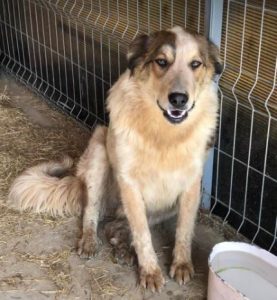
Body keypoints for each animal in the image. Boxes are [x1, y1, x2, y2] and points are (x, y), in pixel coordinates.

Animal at [7, 27, 221, 292]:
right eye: (161, 62)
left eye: (195, 64)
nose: (179, 99)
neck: (164, 135)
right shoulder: (129, 183)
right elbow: (143, 235)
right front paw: (150, 271)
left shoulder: (192, 183)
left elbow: (184, 230)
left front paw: (181, 264)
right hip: (99, 152)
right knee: (92, 212)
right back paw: (91, 242)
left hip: (166, 204)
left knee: (116, 224)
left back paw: (122, 246)